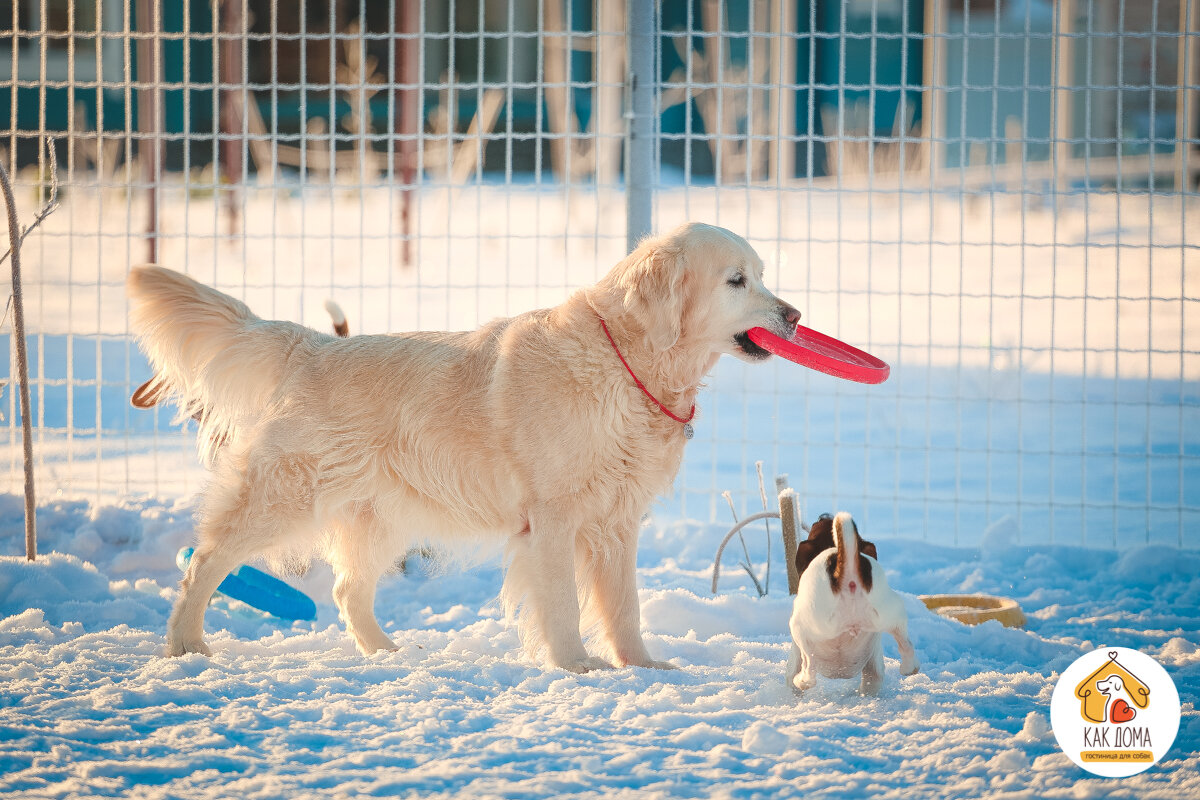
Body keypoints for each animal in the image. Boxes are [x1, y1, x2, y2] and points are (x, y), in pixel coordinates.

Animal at [126, 221, 801, 671]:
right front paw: (577, 667)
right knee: (204, 562)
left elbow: (624, 608)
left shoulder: (616, 523)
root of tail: (311, 346)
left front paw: (642, 666)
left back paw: (387, 655)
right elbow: (562, 605)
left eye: (764, 276)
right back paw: (185, 646)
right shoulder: (553, 520)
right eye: (737, 280)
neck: (626, 363)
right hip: (285, 497)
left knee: (347, 591)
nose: (793, 315)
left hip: (379, 516)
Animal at [787, 513, 916, 695]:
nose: (823, 515)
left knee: (809, 670)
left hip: (801, 626)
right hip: (892, 612)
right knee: (906, 645)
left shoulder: (795, 655)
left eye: (814, 526)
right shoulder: (873, 668)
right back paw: (908, 667)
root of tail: (846, 569)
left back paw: (801, 680)